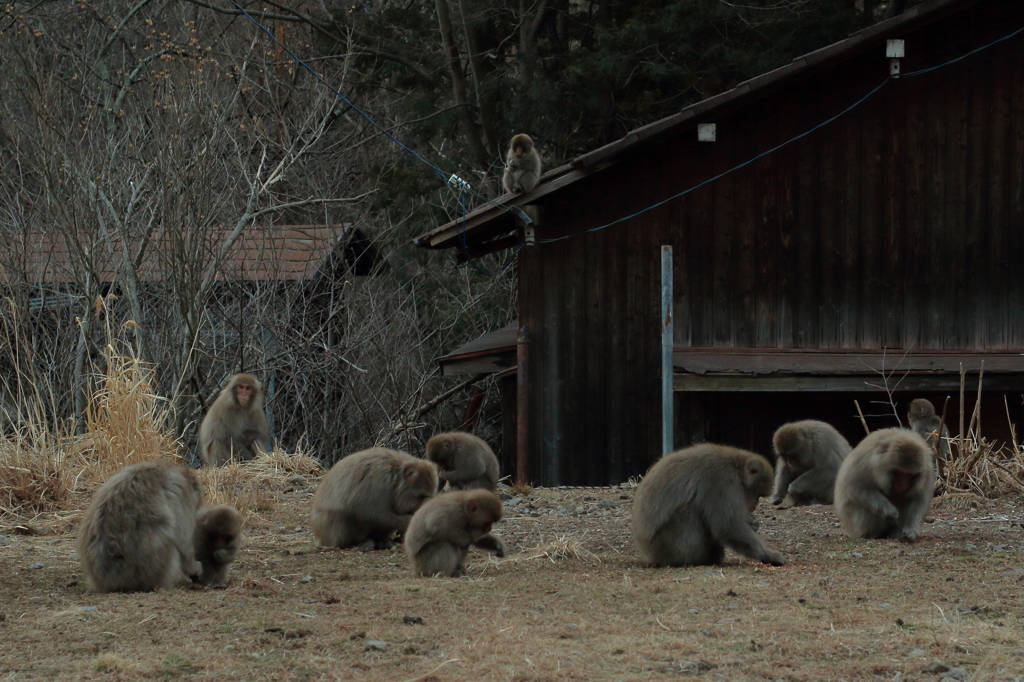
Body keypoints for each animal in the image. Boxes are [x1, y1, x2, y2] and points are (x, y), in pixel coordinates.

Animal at [311, 444, 440, 548]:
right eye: (421, 496)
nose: (421, 508)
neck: (394, 479)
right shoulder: (378, 482)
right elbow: (368, 510)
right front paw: (407, 522)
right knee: (344, 515)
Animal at [630, 440, 782, 561]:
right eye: (757, 494)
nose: (754, 506)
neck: (735, 466)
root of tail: (648, 553)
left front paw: (752, 523)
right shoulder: (722, 479)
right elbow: (729, 527)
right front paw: (769, 556)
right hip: (668, 545)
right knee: (689, 510)